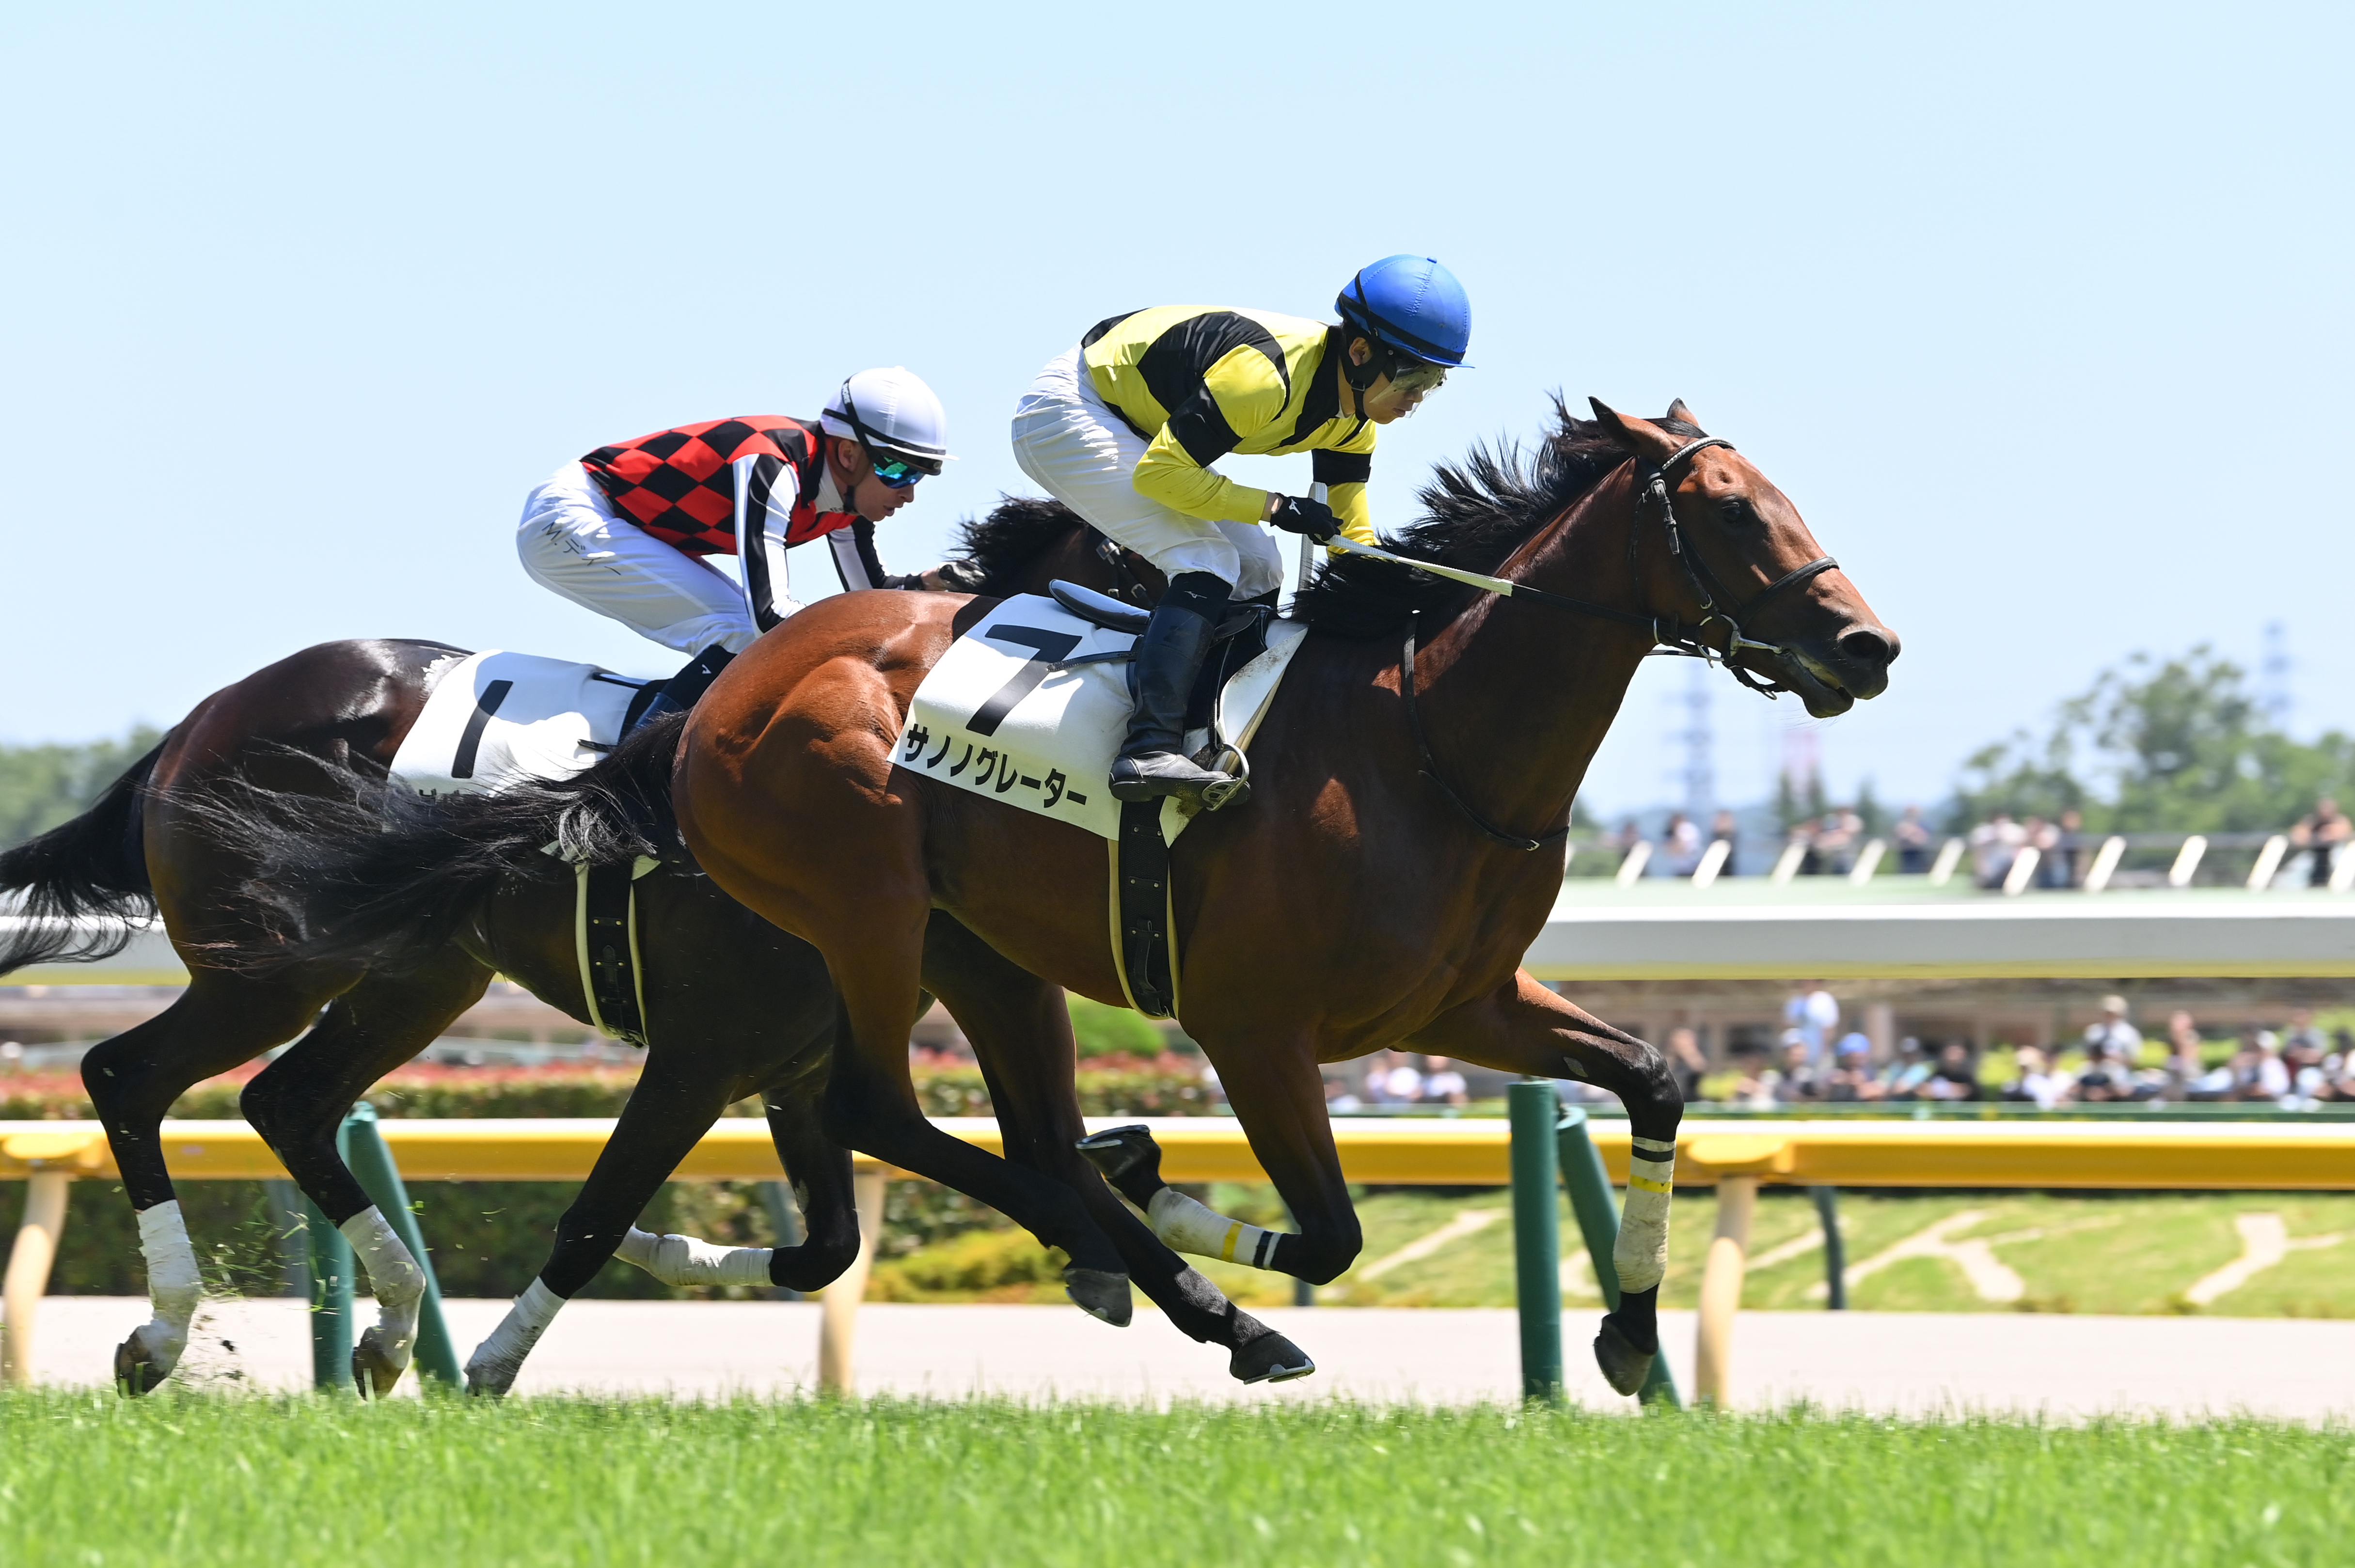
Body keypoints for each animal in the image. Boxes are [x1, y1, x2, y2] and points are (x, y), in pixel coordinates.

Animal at [0, 499, 1304, 1395]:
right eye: (1142, 582)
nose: (1256, 650)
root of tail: (198, 720)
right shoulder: (700, 1051)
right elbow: (595, 1212)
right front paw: (498, 1361)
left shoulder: (789, 1068)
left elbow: (829, 1244)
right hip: (276, 965)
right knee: (127, 1074)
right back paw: (165, 1329)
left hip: (416, 976)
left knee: (285, 1101)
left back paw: (383, 1324)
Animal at [660, 399, 1900, 1394]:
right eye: (1732, 513)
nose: (1868, 645)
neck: (1428, 745)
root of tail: (734, 683)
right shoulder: (1251, 1029)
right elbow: (1331, 1236)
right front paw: (1156, 1183)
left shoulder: (1459, 1006)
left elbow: (1650, 1079)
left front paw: (1632, 1333)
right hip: (868, 909)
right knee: (875, 1110)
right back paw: (1167, 1280)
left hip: (979, 949)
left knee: (1034, 1137)